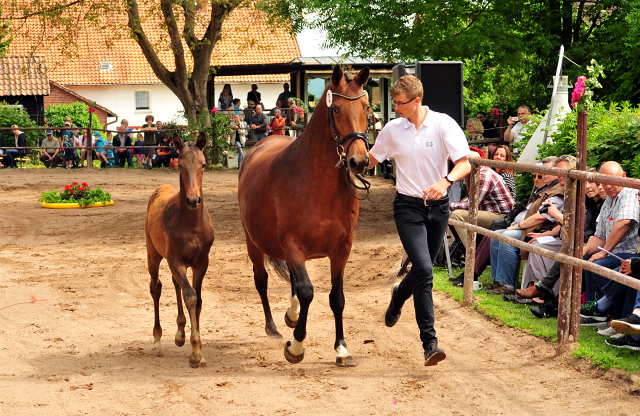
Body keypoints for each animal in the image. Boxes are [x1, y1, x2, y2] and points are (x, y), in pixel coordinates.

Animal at [145, 132, 215, 368]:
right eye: (181, 166)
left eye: (203, 164)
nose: (193, 200)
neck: (191, 223)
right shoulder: (175, 260)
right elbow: (190, 296)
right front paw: (195, 352)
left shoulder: (201, 262)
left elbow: (198, 300)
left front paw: (196, 347)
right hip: (153, 255)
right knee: (156, 287)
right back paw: (157, 340)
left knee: (176, 284)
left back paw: (179, 332)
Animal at [239, 65, 370, 368]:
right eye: (337, 110)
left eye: (366, 108)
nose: (359, 162)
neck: (317, 183)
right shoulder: (293, 246)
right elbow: (308, 291)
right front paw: (296, 347)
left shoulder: (342, 249)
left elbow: (336, 297)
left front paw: (341, 348)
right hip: (254, 243)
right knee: (262, 281)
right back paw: (274, 329)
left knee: (293, 285)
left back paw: (292, 314)